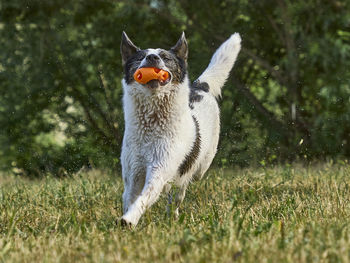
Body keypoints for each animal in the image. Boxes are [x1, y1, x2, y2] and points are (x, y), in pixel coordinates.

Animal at [119, 31, 239, 227]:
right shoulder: (133, 170)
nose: (152, 58)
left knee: (182, 188)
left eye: (166, 57)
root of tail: (200, 86)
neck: (152, 124)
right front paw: (128, 216)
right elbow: (130, 196)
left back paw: (173, 215)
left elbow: (145, 196)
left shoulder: (160, 167)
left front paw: (129, 219)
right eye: (140, 57)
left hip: (200, 167)